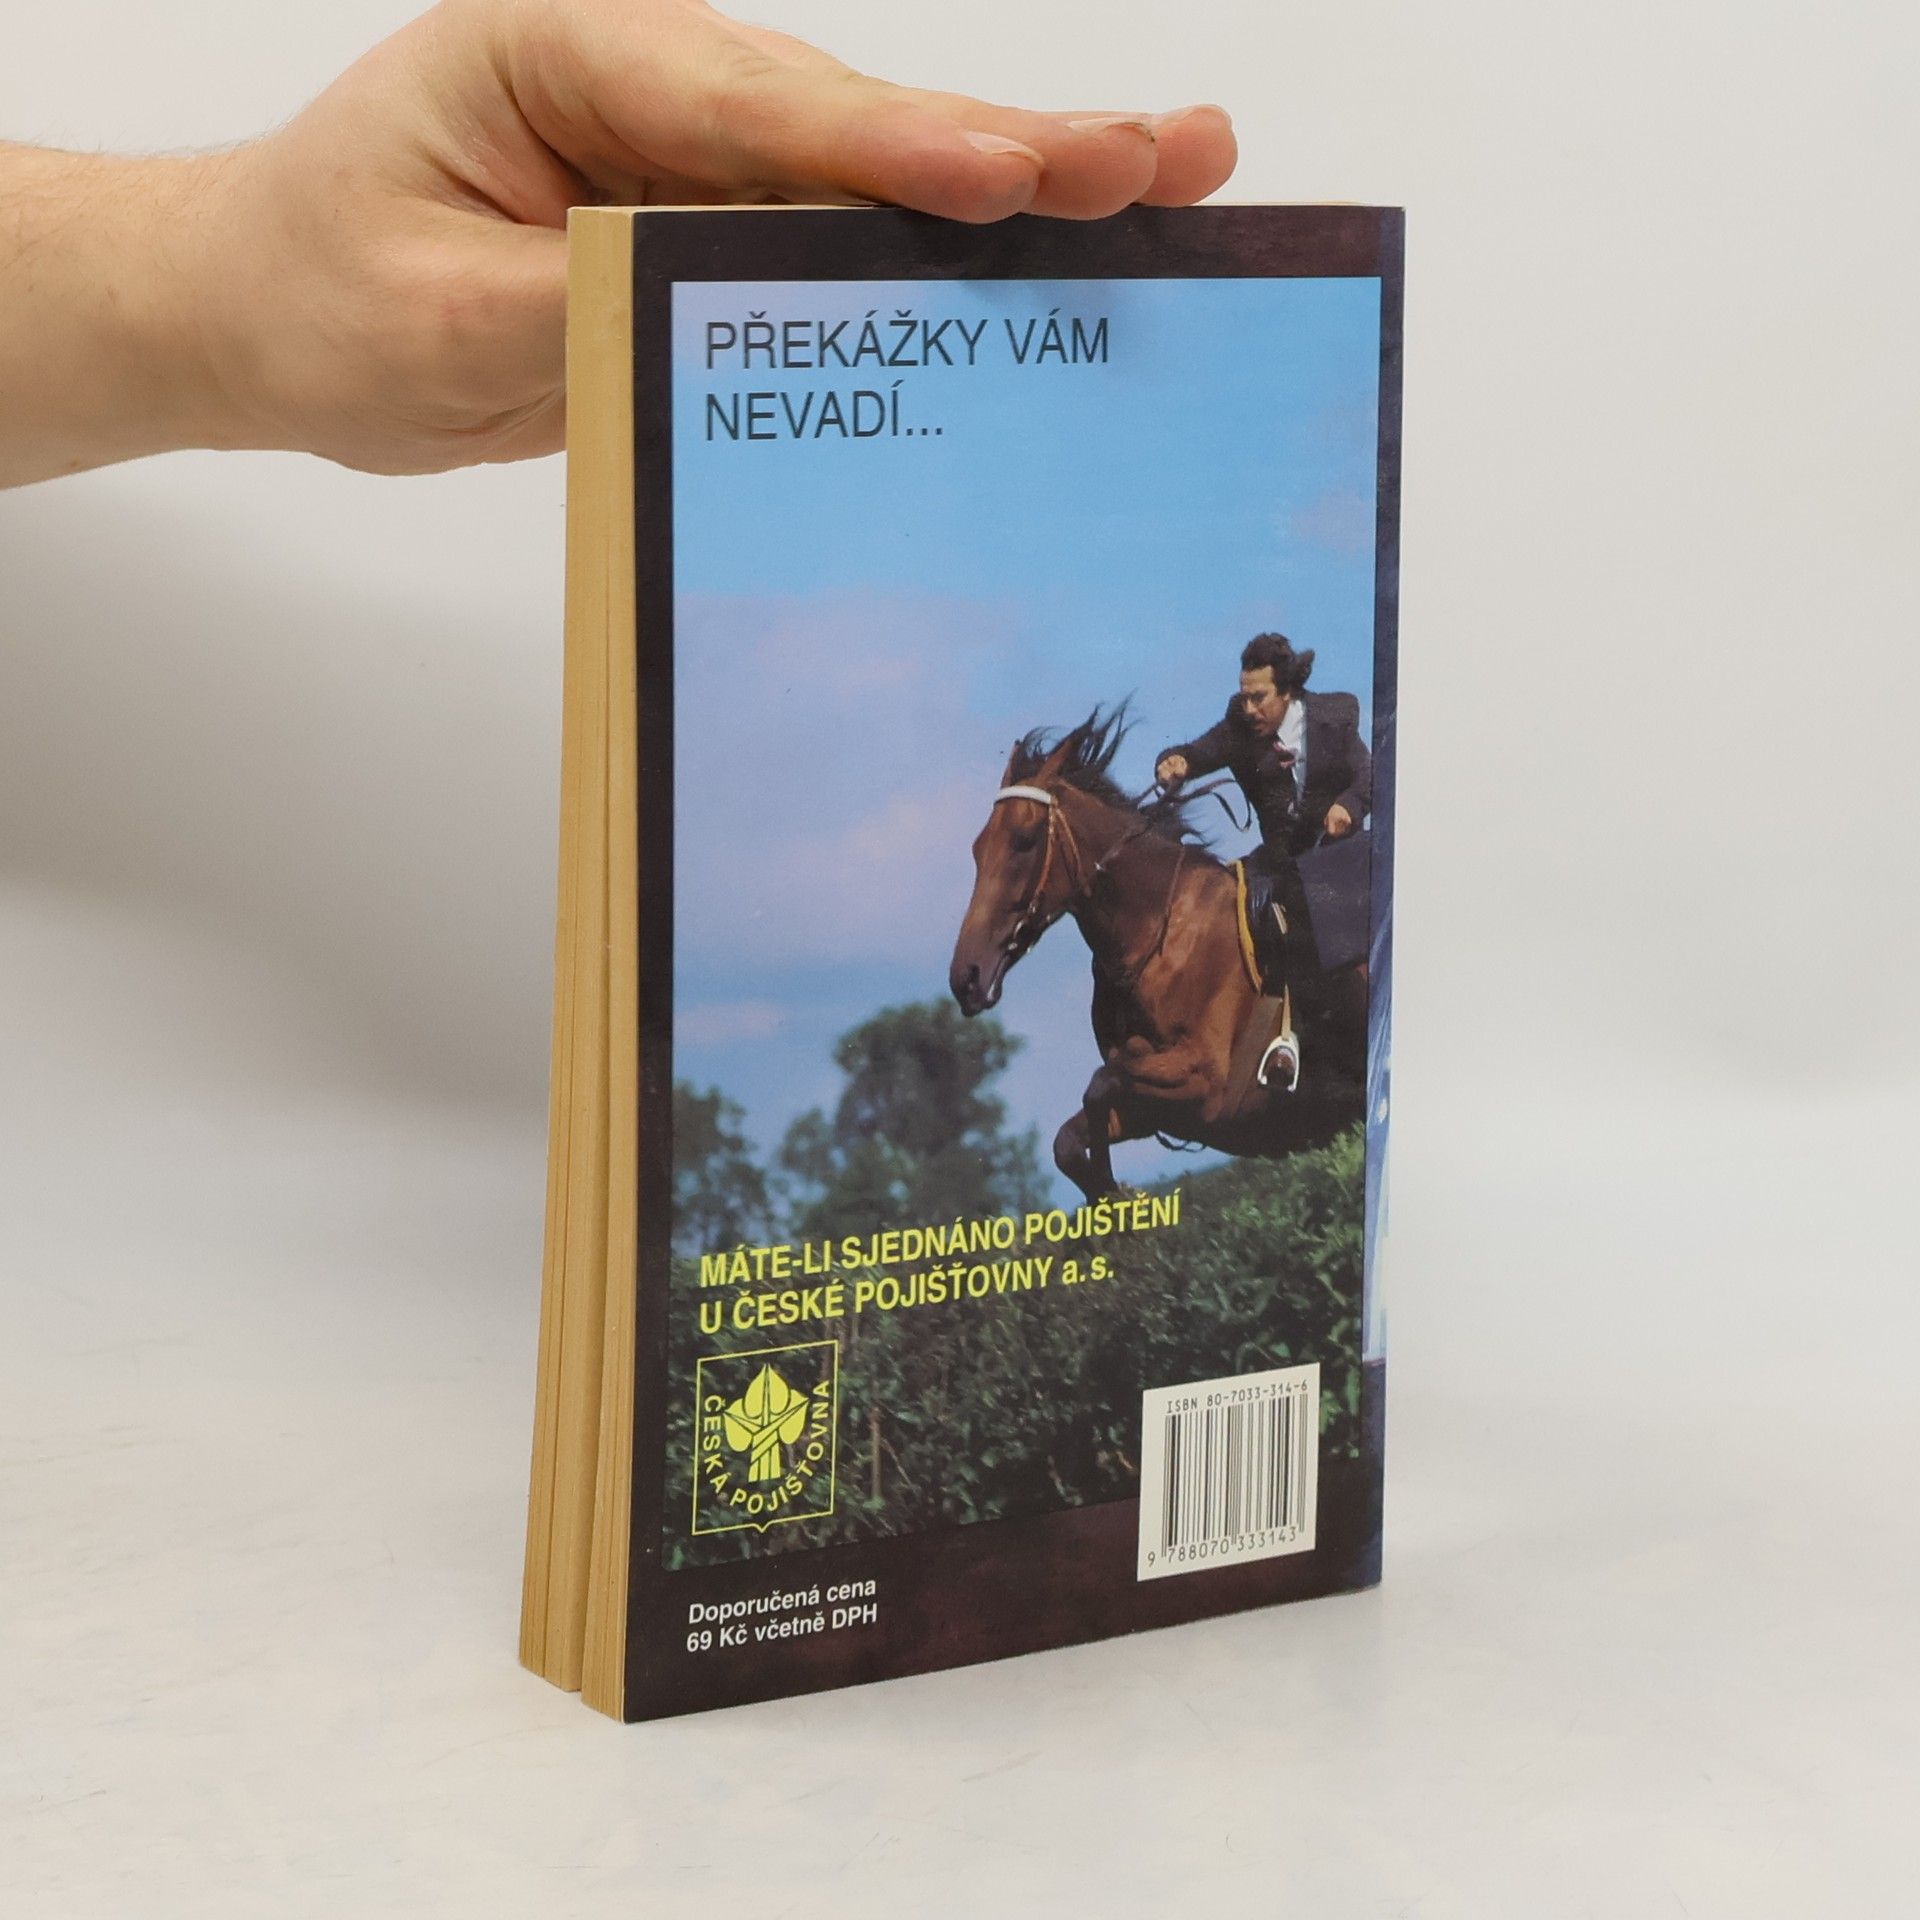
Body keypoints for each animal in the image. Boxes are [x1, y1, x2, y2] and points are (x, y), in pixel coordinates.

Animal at [948, 707, 1368, 1200]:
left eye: (1025, 839)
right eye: (978, 847)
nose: (967, 976)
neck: (1158, 937)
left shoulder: (1207, 1085)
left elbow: (1102, 1083)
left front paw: (1115, 1190)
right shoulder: (1153, 1109)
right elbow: (1069, 1139)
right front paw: (1111, 1196)